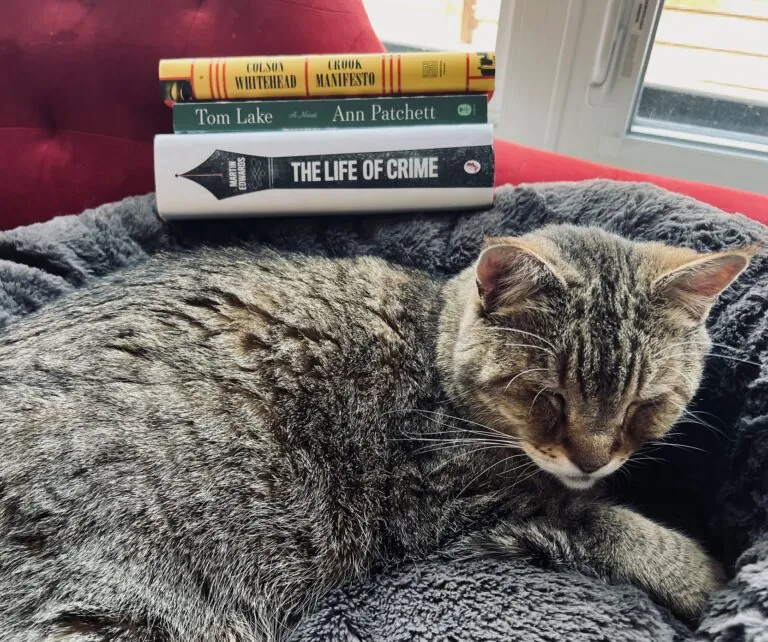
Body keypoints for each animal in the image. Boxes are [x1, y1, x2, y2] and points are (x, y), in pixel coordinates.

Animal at [0, 222, 756, 636]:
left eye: (644, 405)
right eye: (546, 397)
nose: (593, 459)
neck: (435, 346)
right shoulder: (454, 504)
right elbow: (614, 524)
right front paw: (708, 576)